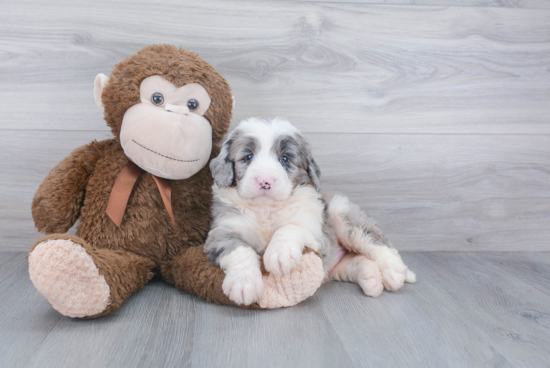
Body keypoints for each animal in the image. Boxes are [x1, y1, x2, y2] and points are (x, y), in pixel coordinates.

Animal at [205, 117, 416, 304]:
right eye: (248, 157)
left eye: (284, 158)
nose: (265, 181)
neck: (266, 210)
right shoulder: (220, 233)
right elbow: (240, 249)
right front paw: (243, 284)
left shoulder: (316, 231)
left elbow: (291, 227)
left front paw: (279, 254)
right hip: (336, 266)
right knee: (358, 261)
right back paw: (371, 279)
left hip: (344, 216)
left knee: (377, 242)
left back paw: (395, 272)